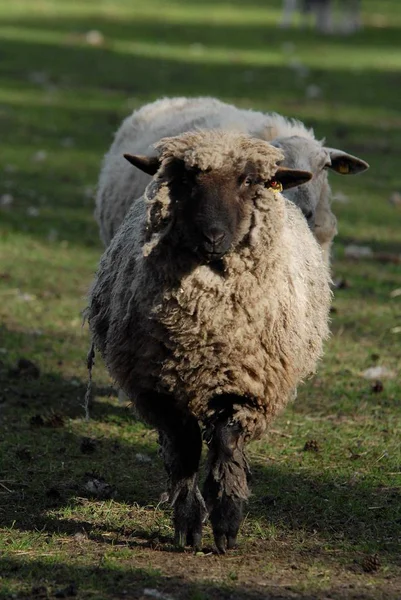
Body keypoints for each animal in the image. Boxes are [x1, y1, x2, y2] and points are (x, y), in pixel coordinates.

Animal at [87, 130, 332, 552]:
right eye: (186, 180)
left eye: (249, 180)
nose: (213, 235)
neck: (204, 325)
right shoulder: (160, 387)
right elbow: (185, 448)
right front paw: (188, 524)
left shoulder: (245, 385)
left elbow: (226, 442)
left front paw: (226, 519)